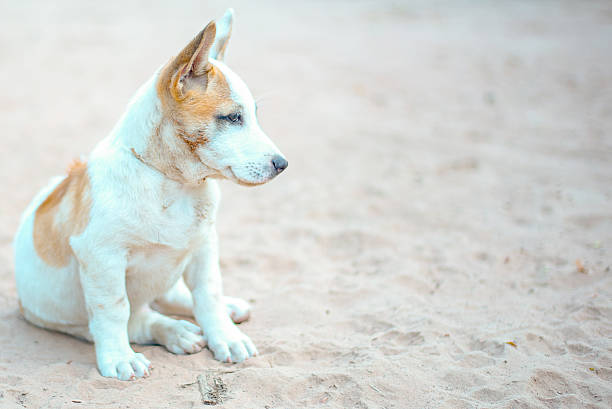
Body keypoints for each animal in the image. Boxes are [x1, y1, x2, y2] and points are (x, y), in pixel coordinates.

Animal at [13, 8, 286, 380]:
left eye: (253, 116)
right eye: (233, 117)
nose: (283, 164)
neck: (174, 184)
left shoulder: (204, 245)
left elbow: (209, 294)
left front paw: (225, 336)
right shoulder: (102, 257)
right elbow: (114, 310)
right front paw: (119, 358)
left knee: (175, 297)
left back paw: (224, 310)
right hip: (71, 318)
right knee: (137, 319)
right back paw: (174, 331)